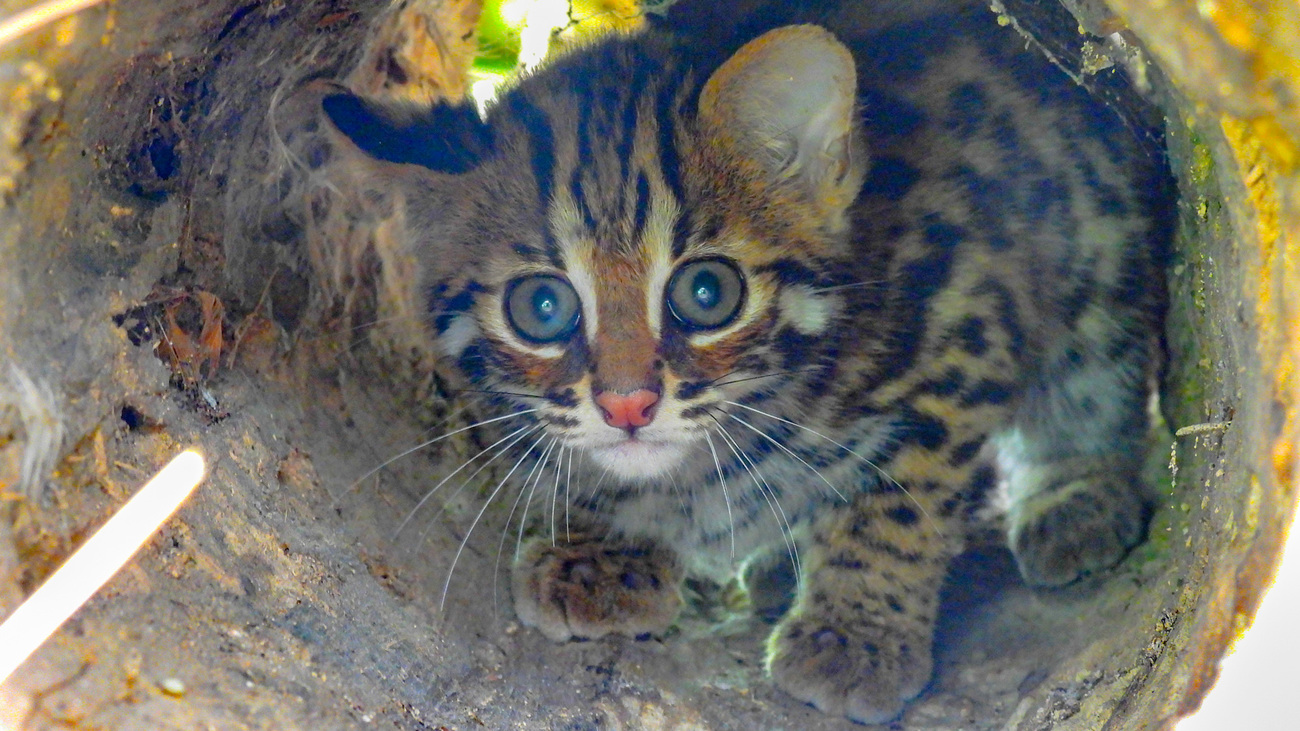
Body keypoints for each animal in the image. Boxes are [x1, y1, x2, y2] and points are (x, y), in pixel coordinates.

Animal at [322, 0, 1170, 717]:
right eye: (542, 307)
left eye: (707, 292)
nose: (627, 404)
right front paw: (603, 546)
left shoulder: (963, 319)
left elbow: (897, 498)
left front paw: (853, 633)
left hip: (1098, 237)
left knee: (1095, 383)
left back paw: (1076, 498)